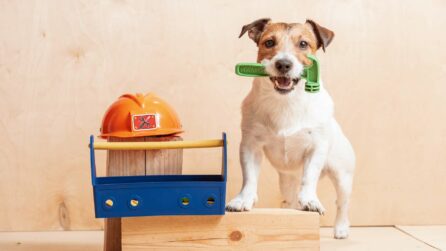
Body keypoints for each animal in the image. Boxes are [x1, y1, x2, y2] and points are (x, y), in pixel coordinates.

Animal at [226, 18, 356, 239]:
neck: (286, 102)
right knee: (290, 198)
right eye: (269, 42)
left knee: (342, 203)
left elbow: (309, 178)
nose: (284, 64)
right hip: (287, 181)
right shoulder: (250, 146)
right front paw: (243, 199)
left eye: (303, 44)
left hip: (342, 176)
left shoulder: (316, 148)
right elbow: (249, 177)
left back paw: (340, 228)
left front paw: (310, 200)